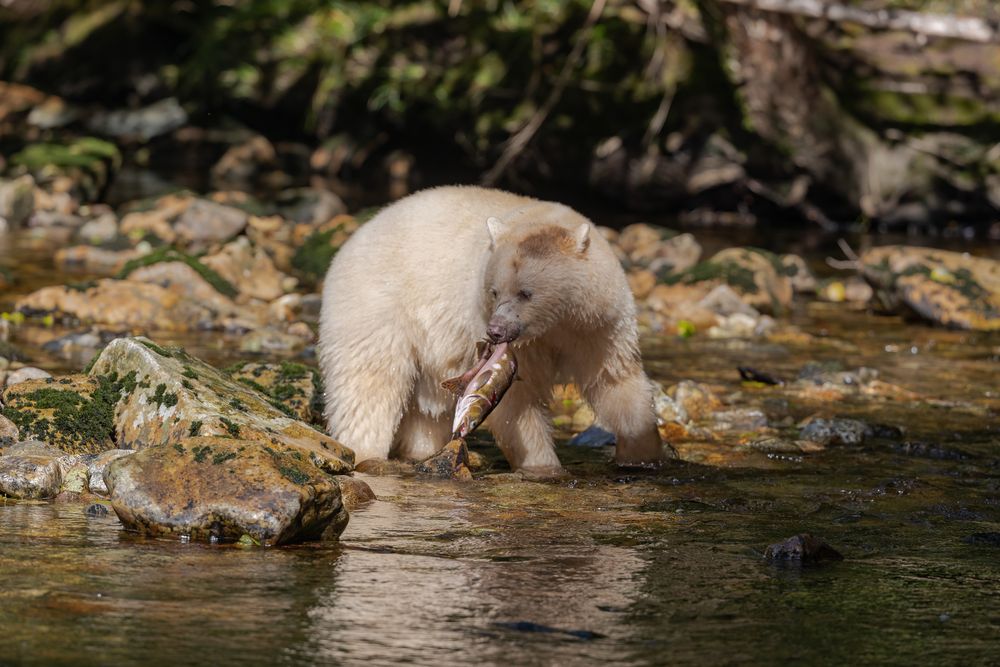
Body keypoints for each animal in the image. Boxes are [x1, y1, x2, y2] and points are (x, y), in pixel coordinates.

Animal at [316, 185, 668, 472]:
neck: (559, 323)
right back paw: (365, 451)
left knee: (425, 411)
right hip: (376, 307)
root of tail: (352, 239)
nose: (495, 331)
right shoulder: (524, 344)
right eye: (494, 291)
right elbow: (517, 402)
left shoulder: (599, 326)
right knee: (369, 386)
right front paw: (544, 467)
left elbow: (616, 380)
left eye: (525, 292)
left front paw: (642, 454)